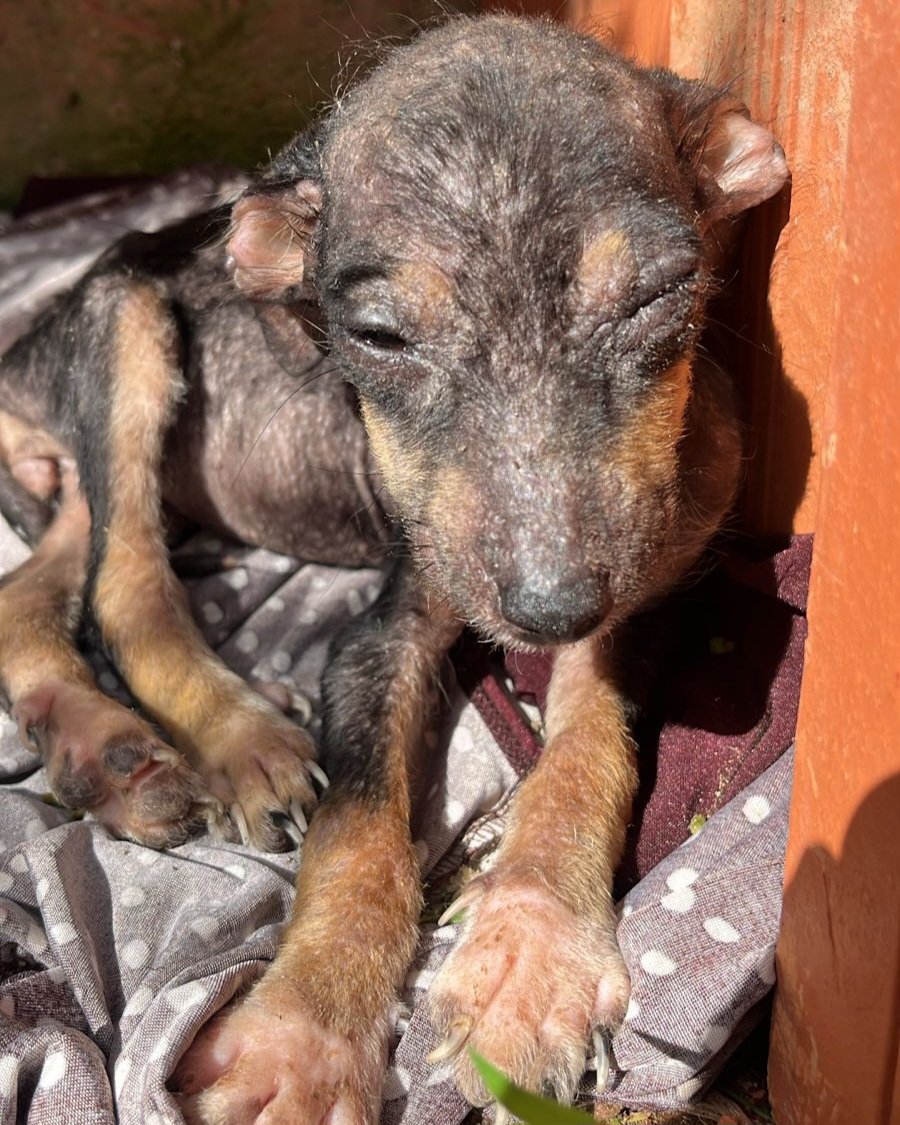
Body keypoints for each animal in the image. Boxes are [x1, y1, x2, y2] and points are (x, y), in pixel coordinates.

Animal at [0, 14, 788, 1122]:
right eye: (376, 336)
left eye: (659, 295)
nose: (551, 609)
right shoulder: (386, 626)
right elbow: (358, 818)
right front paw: (302, 1036)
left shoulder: (655, 587)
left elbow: (594, 737)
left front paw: (530, 954)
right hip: (126, 330)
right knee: (124, 585)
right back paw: (235, 737)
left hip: (76, 477)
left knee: (32, 593)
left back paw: (108, 755)